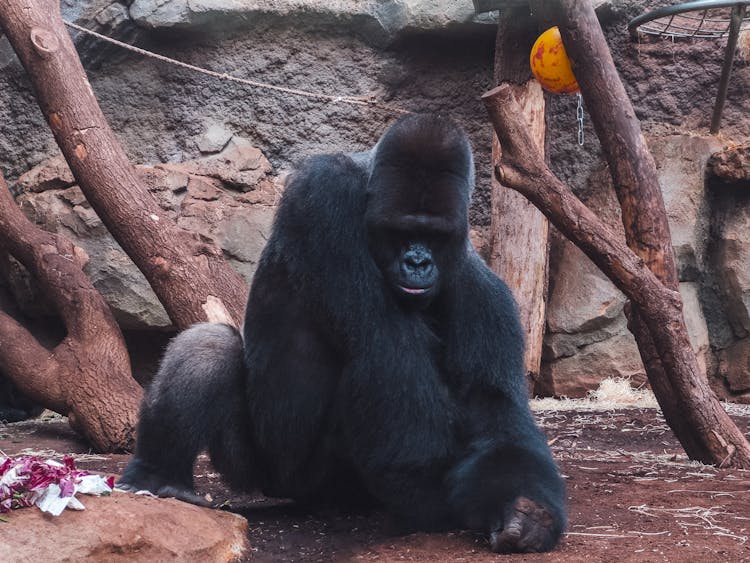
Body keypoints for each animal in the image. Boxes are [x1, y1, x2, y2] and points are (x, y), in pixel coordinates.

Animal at [117, 115, 568, 556]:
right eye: (400, 232)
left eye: (435, 235)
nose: (417, 262)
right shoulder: (323, 196)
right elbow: (383, 348)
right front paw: (430, 496)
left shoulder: (485, 294)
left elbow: (495, 412)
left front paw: (525, 510)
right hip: (263, 469)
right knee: (210, 347)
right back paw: (159, 477)